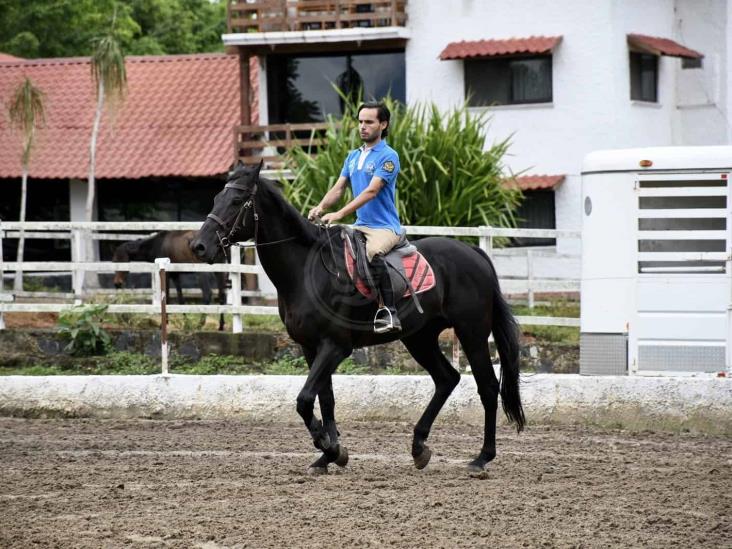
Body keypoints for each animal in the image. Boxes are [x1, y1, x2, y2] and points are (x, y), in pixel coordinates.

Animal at [189, 162, 520, 470]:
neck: (305, 271)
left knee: (488, 388)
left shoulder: (336, 346)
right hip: (420, 338)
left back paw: (482, 458)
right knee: (446, 378)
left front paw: (330, 447)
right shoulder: (310, 347)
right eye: (217, 198)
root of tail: (473, 252)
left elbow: (305, 400)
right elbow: (325, 399)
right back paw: (418, 447)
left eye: (237, 200)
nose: (198, 246)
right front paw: (329, 454)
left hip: (471, 333)